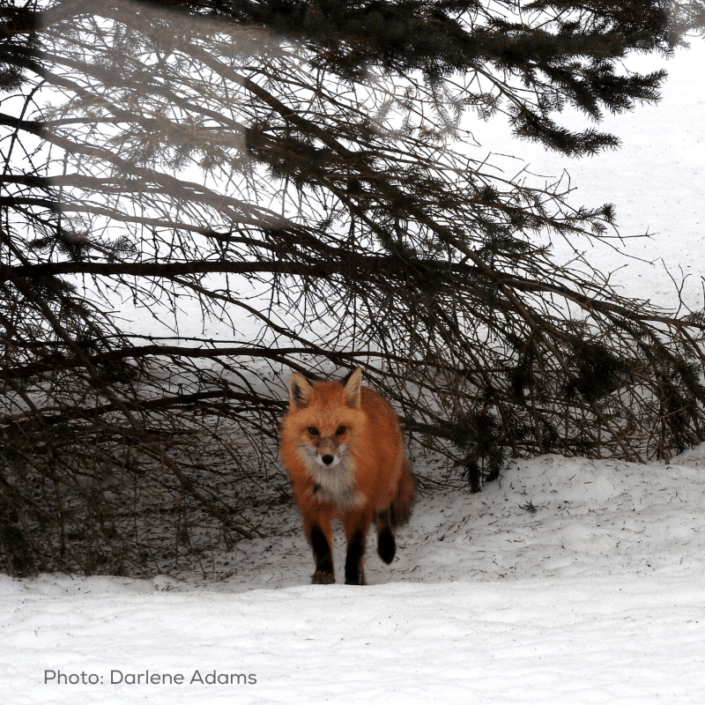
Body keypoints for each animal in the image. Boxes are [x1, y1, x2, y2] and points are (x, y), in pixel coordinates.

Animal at [280, 368, 416, 584]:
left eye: (341, 430)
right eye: (313, 431)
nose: (327, 458)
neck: (334, 484)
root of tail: (371, 391)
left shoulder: (359, 504)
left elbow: (355, 548)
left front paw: (352, 581)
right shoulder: (312, 503)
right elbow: (321, 544)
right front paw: (324, 575)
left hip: (385, 488)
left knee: (383, 514)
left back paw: (386, 550)